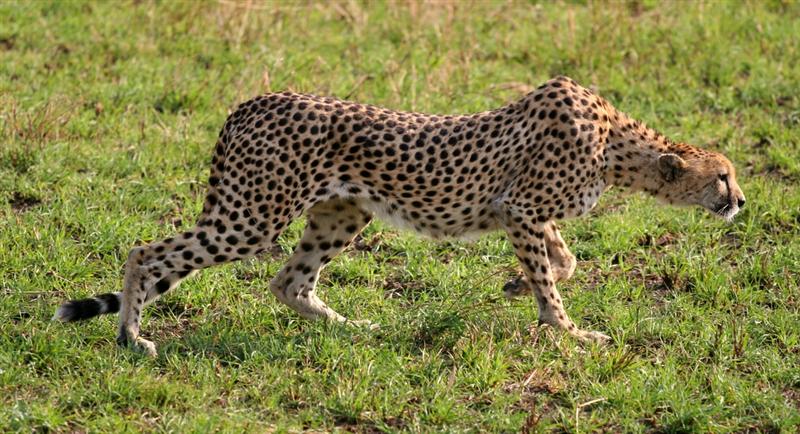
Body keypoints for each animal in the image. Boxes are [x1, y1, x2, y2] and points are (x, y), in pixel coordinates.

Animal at [54, 76, 745, 356]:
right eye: (724, 175)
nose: (740, 201)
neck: (619, 147)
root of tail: (252, 101)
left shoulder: (519, 209)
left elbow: (562, 258)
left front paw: (516, 284)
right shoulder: (521, 207)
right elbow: (554, 282)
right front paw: (569, 332)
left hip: (340, 213)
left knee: (289, 281)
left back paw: (354, 329)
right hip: (253, 215)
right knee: (147, 252)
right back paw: (132, 337)